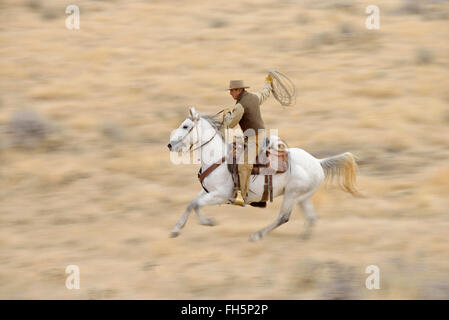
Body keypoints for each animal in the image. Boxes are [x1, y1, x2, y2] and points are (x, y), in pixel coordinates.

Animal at [166, 106, 358, 241]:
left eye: (185, 126)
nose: (170, 145)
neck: (217, 157)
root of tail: (317, 162)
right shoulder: (209, 191)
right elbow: (191, 204)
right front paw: (175, 230)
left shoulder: (221, 194)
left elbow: (197, 205)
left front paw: (208, 222)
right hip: (303, 197)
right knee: (311, 217)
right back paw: (304, 238)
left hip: (292, 195)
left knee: (283, 218)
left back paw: (257, 235)